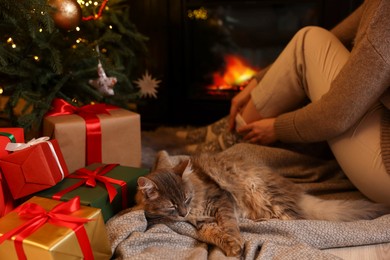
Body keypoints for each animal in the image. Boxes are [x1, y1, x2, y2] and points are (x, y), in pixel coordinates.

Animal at [133, 151, 386, 256]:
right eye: (172, 206)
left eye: (186, 198)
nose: (184, 213)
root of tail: (296, 191)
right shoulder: (202, 223)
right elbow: (213, 234)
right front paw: (231, 246)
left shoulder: (221, 200)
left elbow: (228, 224)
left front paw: (235, 239)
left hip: (261, 190)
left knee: (294, 219)